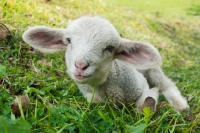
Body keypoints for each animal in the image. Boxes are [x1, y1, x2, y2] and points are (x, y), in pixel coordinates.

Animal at [22, 16, 190, 112]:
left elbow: (145, 102)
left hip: (152, 70)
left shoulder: (142, 85)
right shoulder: (90, 96)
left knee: (166, 84)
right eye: (68, 41)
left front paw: (151, 99)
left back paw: (181, 106)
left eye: (109, 48)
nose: (80, 65)